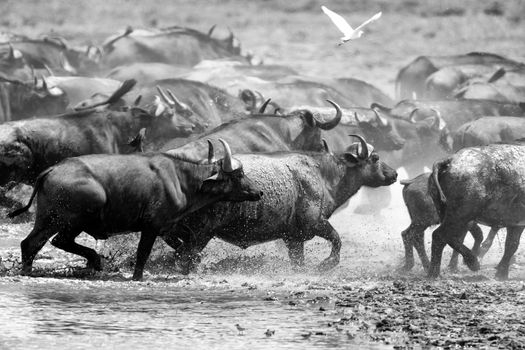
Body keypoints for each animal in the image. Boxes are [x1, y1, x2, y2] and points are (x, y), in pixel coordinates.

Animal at [10, 141, 264, 280]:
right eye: (239, 175)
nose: (259, 192)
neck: (181, 180)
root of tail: (52, 170)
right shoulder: (152, 227)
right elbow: (143, 253)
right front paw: (137, 276)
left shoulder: (168, 227)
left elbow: (187, 246)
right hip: (67, 217)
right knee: (37, 243)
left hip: (53, 221)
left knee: (49, 242)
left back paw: (92, 263)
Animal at [166, 135, 396, 274]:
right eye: (375, 158)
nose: (394, 174)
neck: (322, 176)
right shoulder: (315, 224)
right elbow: (337, 240)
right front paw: (326, 264)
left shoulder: (294, 239)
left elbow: (299, 263)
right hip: (201, 234)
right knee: (184, 255)